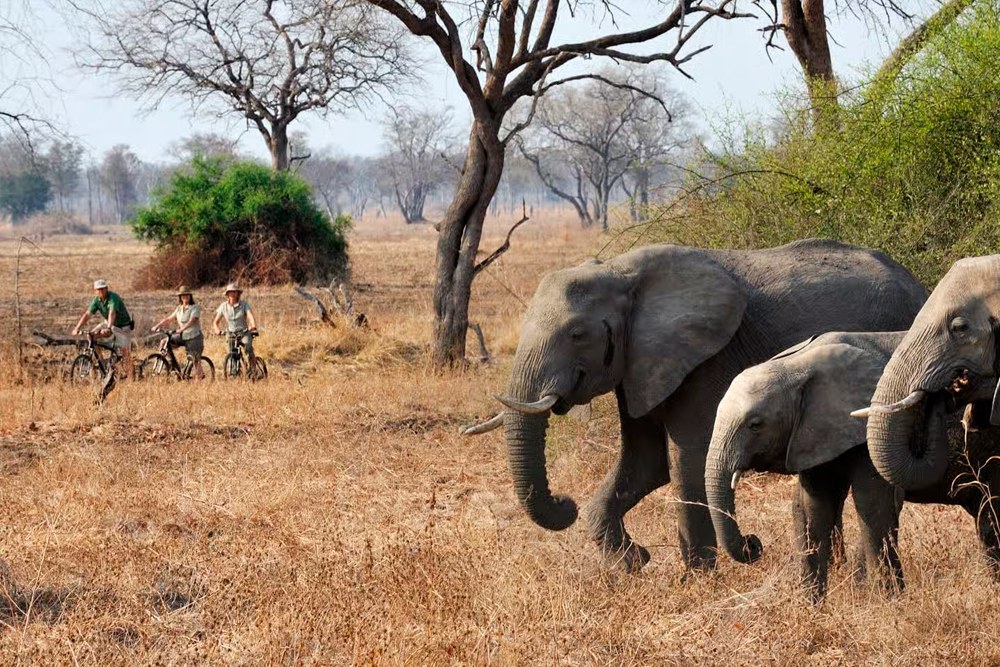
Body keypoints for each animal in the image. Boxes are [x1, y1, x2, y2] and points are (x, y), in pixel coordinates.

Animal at [465, 239, 928, 572]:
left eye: (577, 335)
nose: (565, 503)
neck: (619, 271)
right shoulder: (641, 363)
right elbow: (645, 462)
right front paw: (632, 565)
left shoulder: (705, 359)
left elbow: (685, 460)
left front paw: (698, 578)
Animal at [706, 331, 1000, 598]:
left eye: (755, 425)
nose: (753, 543)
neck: (798, 364)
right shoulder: (813, 433)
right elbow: (813, 506)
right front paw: (812, 606)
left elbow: (873, 504)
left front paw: (886, 603)